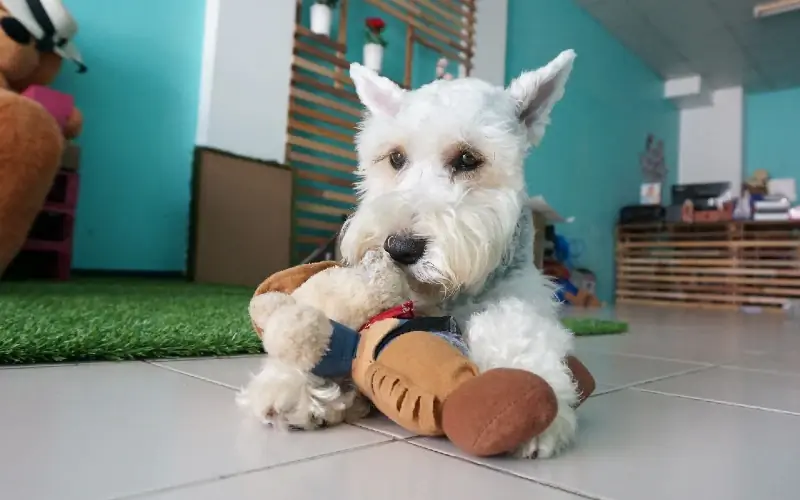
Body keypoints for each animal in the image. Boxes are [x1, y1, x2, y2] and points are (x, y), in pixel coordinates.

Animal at [241, 49, 580, 458]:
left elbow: (516, 325)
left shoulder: (524, 293)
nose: (399, 249)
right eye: (396, 158)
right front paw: (291, 381)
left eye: (468, 159)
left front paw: (534, 393)